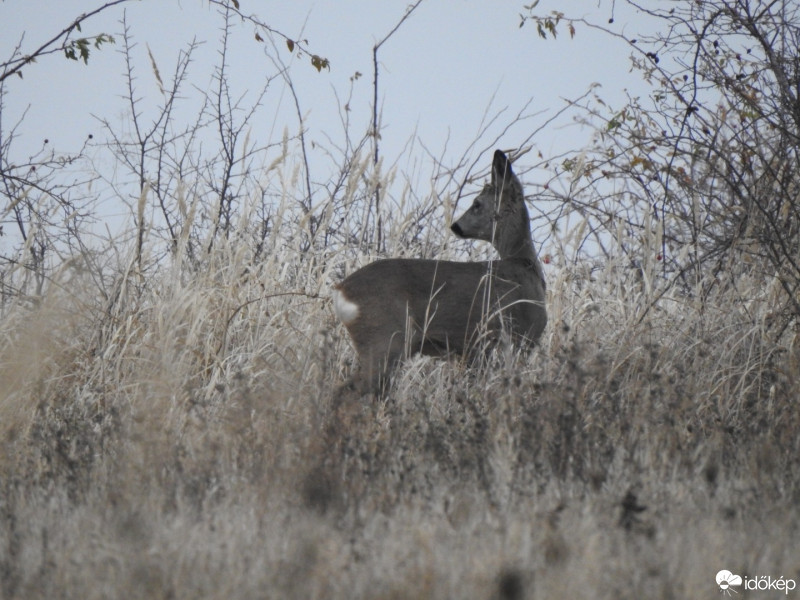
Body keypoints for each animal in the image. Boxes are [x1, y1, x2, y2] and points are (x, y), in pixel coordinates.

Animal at [332, 149, 552, 398]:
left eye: (477, 203)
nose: (456, 226)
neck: (524, 264)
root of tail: (341, 291)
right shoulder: (518, 338)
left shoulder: (476, 352)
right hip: (384, 338)